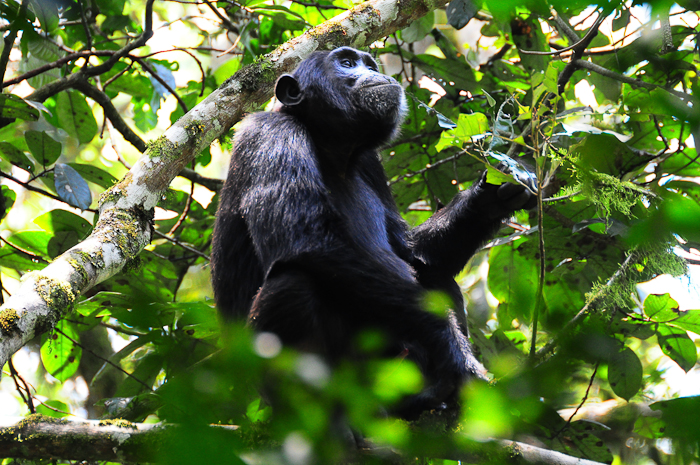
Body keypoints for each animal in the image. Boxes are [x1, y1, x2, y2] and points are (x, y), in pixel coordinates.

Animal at [211, 46, 532, 416]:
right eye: (347, 63)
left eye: (368, 63)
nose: (374, 72)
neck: (332, 146)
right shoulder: (270, 135)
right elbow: (309, 239)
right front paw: (455, 354)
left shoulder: (371, 164)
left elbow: (410, 249)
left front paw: (492, 195)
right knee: (293, 283)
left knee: (434, 276)